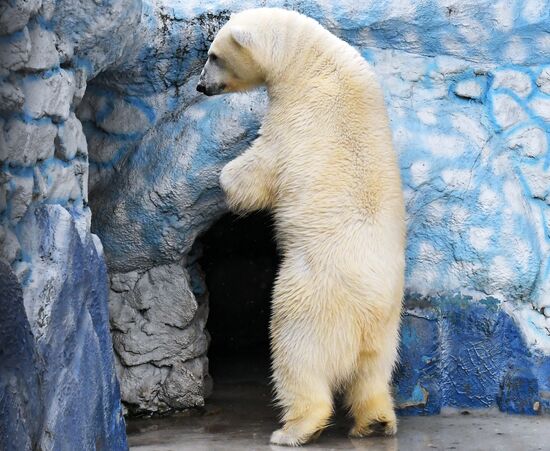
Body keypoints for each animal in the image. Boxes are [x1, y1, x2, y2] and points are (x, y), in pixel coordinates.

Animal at [197, 7, 406, 448]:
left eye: (214, 55)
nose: (200, 85)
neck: (310, 59)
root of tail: (365, 314)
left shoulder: (296, 117)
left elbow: (261, 168)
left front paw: (227, 179)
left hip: (311, 301)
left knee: (297, 357)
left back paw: (294, 428)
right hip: (386, 328)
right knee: (373, 373)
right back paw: (376, 421)